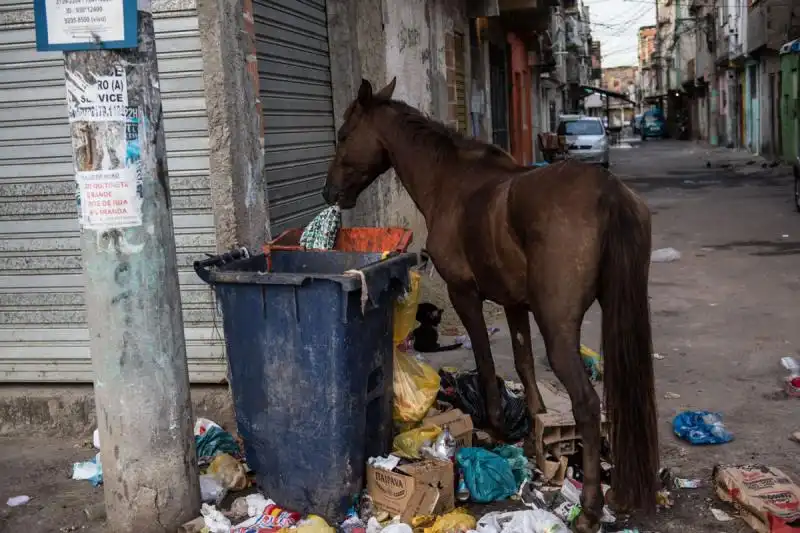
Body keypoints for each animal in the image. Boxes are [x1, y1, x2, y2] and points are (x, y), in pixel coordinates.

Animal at [322, 78, 660, 532]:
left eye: (344, 135)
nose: (329, 191)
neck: (450, 180)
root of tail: (607, 192)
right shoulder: (516, 304)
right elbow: (524, 365)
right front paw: (535, 440)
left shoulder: (465, 294)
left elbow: (484, 360)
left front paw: (498, 428)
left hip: (558, 329)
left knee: (588, 405)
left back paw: (590, 509)